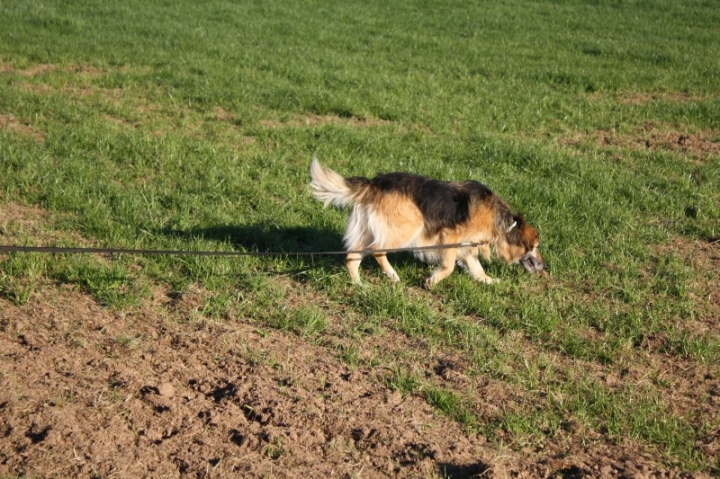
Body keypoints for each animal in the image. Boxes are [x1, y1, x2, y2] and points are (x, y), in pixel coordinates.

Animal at [306, 158, 544, 288]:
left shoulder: (467, 248)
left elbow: (477, 270)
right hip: (409, 226)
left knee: (352, 258)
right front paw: (432, 281)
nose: (544, 266)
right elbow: (448, 267)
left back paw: (359, 285)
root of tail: (374, 184)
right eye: (535, 247)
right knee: (377, 251)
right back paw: (393, 275)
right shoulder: (450, 236)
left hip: (369, 230)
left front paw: (489, 281)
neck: (503, 223)